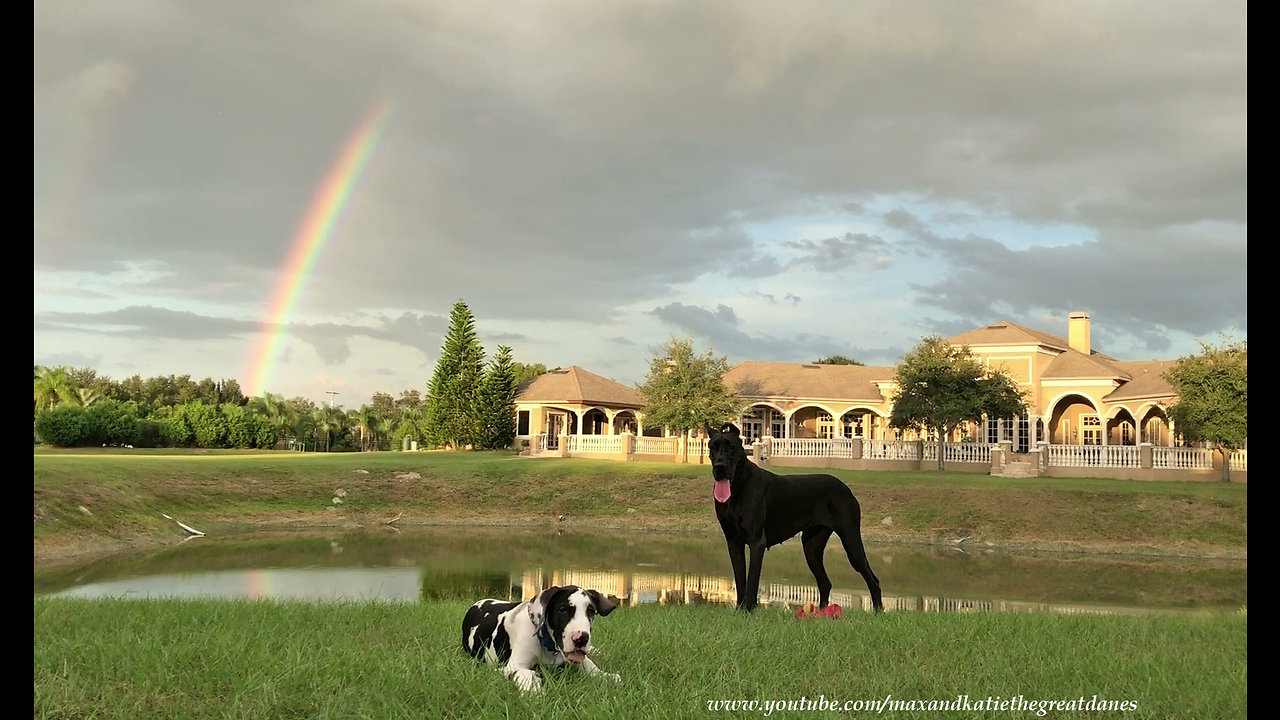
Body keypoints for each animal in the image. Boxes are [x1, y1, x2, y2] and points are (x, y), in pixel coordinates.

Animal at [460, 584, 619, 691]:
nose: (582, 639)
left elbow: (588, 663)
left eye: (591, 611)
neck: (548, 645)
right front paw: (535, 690)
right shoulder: (512, 666)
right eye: (562, 610)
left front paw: (604, 675)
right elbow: (527, 674)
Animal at [706, 420, 885, 609]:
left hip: (851, 541)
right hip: (811, 547)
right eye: (713, 447)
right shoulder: (733, 542)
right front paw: (739, 610)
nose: (720, 467)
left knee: (873, 580)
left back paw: (878, 611)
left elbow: (752, 582)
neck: (737, 487)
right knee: (825, 583)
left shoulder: (756, 542)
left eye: (731, 447)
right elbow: (740, 581)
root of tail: (846, 488)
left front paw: (749, 610)